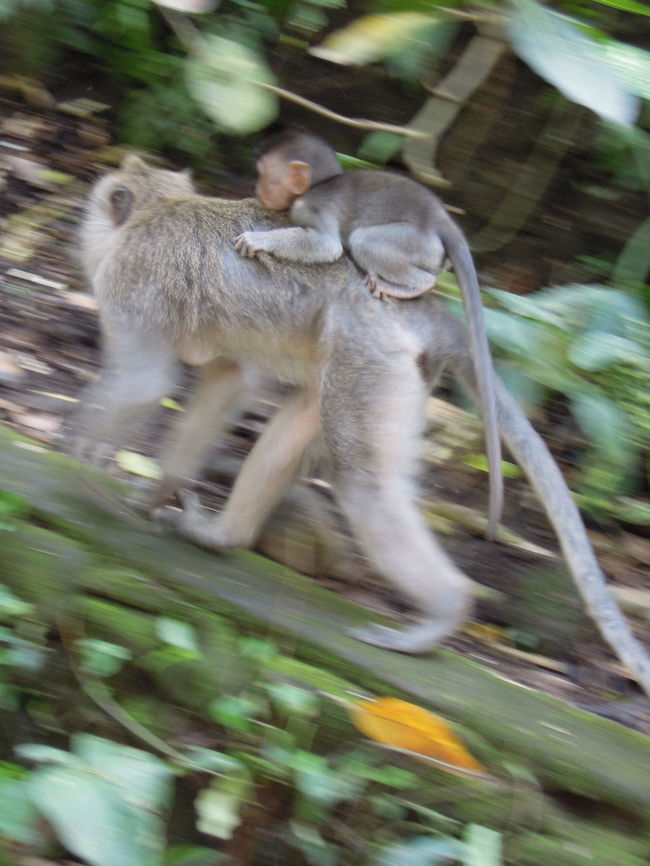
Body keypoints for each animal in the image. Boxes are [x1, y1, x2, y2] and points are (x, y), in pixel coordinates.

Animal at [77, 155, 648, 692]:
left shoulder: (130, 278)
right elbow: (229, 382)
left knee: (364, 482)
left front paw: (84, 467)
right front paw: (153, 493)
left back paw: (444, 612)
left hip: (371, 354)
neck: (157, 209)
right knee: (306, 418)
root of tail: (432, 313)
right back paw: (224, 536)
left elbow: (144, 385)